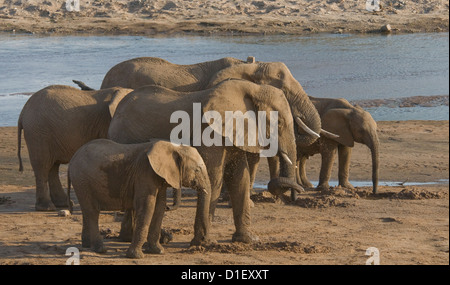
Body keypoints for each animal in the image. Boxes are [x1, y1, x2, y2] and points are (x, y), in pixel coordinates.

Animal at [67, 139, 212, 258]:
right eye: (197, 170)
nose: (201, 241)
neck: (173, 147)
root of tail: (72, 160)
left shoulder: (157, 177)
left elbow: (159, 206)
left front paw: (158, 251)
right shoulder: (145, 173)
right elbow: (147, 205)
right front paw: (136, 256)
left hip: (81, 182)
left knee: (87, 211)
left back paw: (87, 245)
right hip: (82, 180)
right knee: (92, 211)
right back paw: (100, 249)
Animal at [107, 79, 302, 242]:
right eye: (279, 123)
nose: (296, 193)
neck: (253, 88)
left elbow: (240, 179)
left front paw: (248, 240)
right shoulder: (209, 132)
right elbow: (214, 178)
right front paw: (203, 242)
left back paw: (129, 238)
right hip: (123, 140)